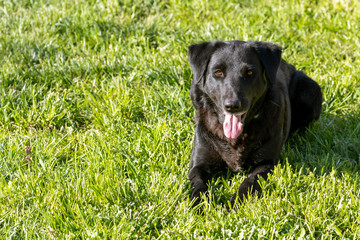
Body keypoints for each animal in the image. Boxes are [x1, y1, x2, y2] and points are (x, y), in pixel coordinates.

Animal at [187, 40, 322, 207]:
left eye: (250, 73)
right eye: (218, 72)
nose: (232, 106)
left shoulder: (266, 163)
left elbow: (249, 182)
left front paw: (235, 203)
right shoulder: (198, 165)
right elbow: (198, 185)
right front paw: (200, 205)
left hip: (310, 91)